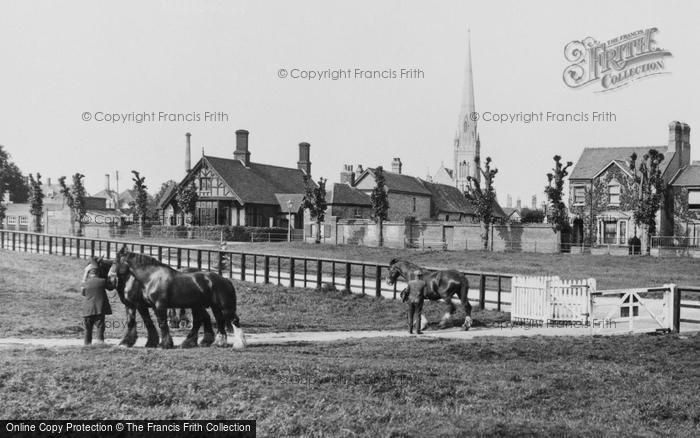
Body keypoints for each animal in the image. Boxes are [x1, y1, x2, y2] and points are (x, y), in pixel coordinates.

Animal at [105, 246, 245, 350]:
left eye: (115, 262)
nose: (110, 280)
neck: (152, 277)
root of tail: (225, 280)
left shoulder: (159, 306)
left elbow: (162, 324)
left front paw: (165, 345)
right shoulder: (151, 306)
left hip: (226, 307)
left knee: (234, 321)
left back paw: (239, 344)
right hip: (212, 307)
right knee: (218, 321)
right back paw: (216, 343)